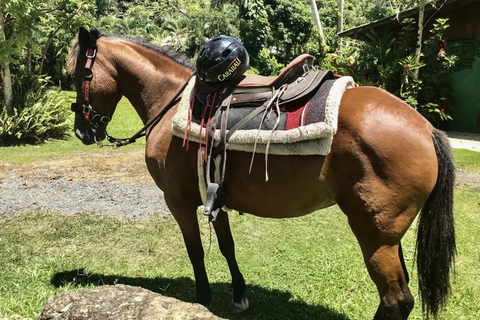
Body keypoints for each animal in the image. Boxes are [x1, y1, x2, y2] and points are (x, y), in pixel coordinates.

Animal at [68, 28, 458, 320]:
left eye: (78, 75)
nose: (82, 132)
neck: (173, 102)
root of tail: (427, 128)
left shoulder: (177, 200)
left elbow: (195, 250)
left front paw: (202, 297)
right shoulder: (215, 195)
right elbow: (227, 246)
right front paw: (238, 295)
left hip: (375, 235)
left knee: (396, 300)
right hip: (390, 236)